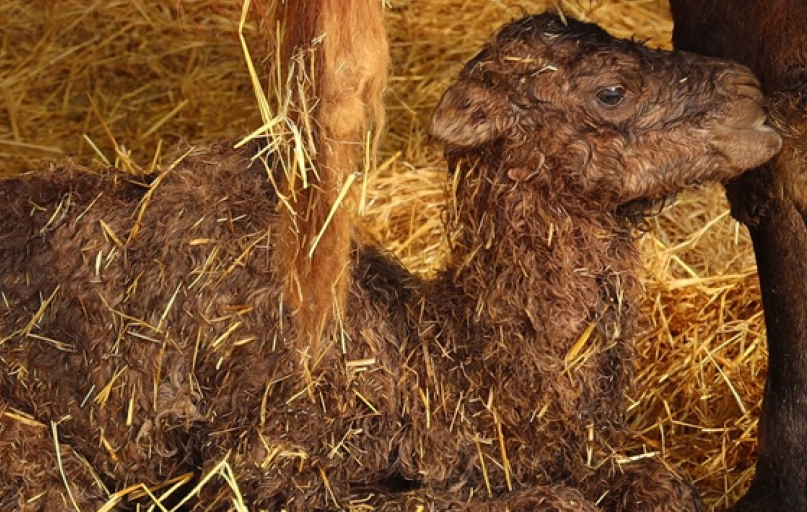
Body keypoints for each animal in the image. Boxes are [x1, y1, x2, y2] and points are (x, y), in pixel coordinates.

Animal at [0, 12, 784, 512]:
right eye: (611, 90)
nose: (751, 97)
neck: (448, 365)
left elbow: (660, 485)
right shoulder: (276, 470)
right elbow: (549, 501)